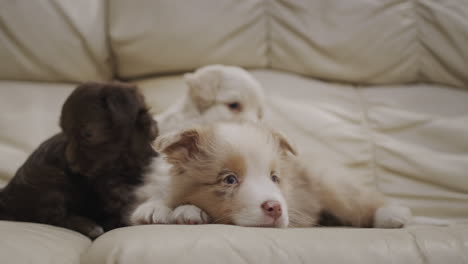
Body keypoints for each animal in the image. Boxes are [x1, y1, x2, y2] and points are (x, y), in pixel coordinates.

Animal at [0, 82, 158, 239]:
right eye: (66, 133)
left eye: (88, 134)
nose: (71, 163)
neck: (123, 160)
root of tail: (6, 194)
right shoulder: (106, 186)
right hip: (52, 181)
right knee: (52, 217)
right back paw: (90, 227)